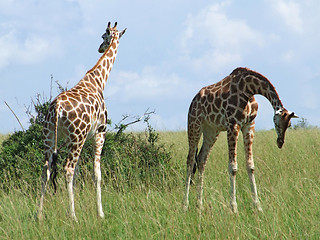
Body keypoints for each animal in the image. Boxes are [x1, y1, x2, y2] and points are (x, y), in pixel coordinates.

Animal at [37, 22, 126, 221]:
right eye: (103, 36)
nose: (100, 47)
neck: (99, 80)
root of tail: (57, 108)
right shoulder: (99, 133)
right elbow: (96, 173)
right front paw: (100, 213)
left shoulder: (82, 137)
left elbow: (79, 173)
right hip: (76, 136)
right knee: (67, 168)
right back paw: (73, 217)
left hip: (50, 136)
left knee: (46, 169)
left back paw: (39, 215)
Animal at [184, 67, 298, 214]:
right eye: (277, 123)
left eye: (289, 125)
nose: (280, 142)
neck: (249, 89)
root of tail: (194, 99)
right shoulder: (233, 124)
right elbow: (233, 167)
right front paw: (234, 208)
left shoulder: (249, 125)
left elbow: (250, 166)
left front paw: (258, 206)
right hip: (194, 124)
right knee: (190, 160)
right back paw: (185, 205)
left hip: (211, 130)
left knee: (201, 159)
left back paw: (199, 205)